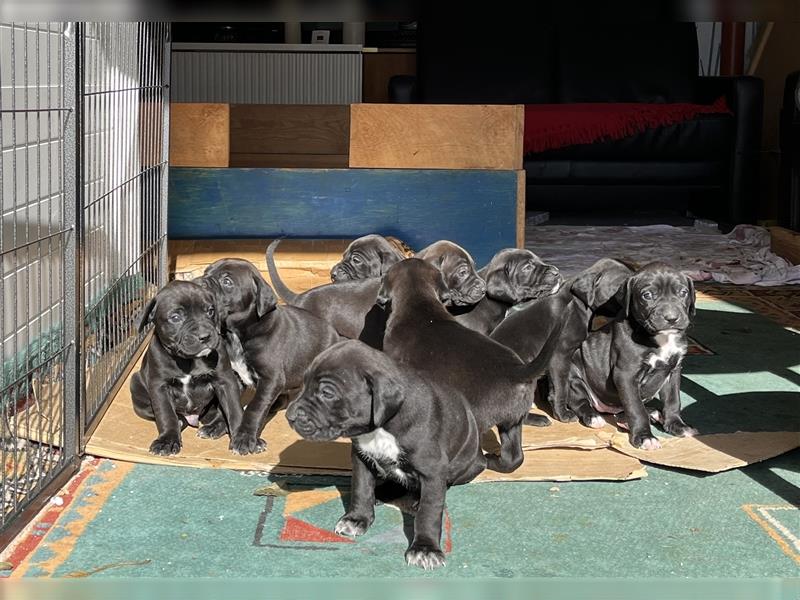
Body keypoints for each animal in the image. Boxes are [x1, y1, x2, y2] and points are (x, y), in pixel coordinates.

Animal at [130, 282, 242, 454]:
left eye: (210, 311)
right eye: (175, 317)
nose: (205, 336)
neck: (189, 361)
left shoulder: (226, 381)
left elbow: (234, 408)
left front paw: (244, 438)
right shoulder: (160, 387)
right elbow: (166, 414)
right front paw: (167, 440)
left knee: (220, 414)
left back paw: (212, 428)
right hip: (136, 385)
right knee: (176, 417)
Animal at [290, 340, 488, 568]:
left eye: (327, 393)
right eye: (304, 384)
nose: (289, 416)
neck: (383, 426)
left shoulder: (433, 469)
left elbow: (429, 511)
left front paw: (425, 549)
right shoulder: (361, 458)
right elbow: (361, 489)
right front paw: (357, 519)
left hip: (468, 464)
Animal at [380, 260, 564, 476]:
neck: (418, 302)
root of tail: (517, 370)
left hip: (475, 421)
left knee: (477, 460)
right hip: (512, 422)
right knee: (513, 458)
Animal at [564, 260, 696, 448]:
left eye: (683, 292)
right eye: (647, 295)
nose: (671, 318)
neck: (663, 338)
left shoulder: (673, 370)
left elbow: (673, 400)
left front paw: (677, 425)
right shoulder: (626, 375)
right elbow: (636, 409)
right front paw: (644, 437)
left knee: (623, 412)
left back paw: (650, 413)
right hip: (574, 377)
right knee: (580, 402)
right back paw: (593, 417)